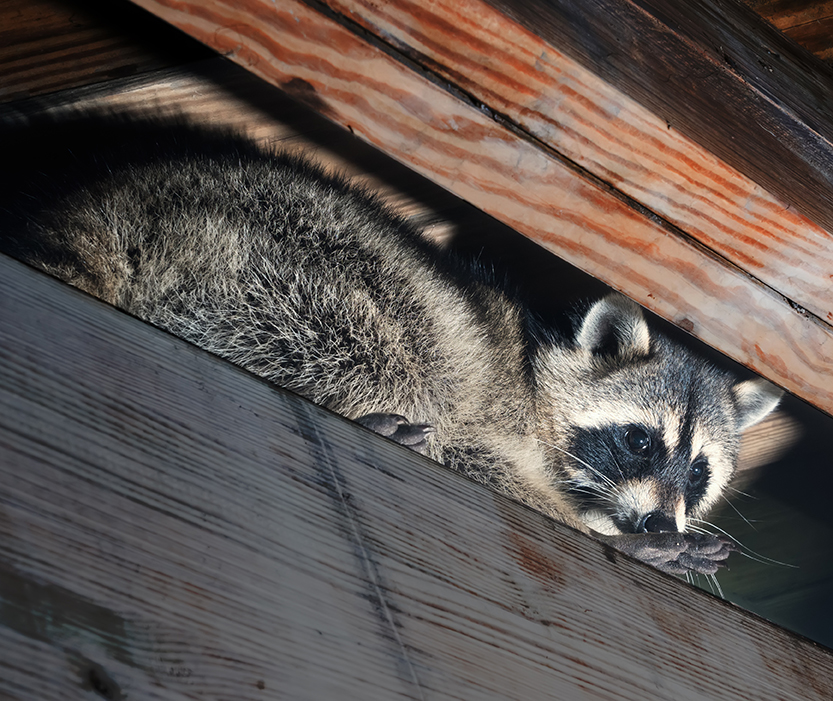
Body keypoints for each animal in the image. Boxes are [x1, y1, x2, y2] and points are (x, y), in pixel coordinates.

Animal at [0, 114, 781, 577]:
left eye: (699, 472)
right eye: (639, 441)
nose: (656, 519)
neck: (537, 378)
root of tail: (112, 204)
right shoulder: (490, 410)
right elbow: (476, 457)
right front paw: (617, 539)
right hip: (282, 264)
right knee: (384, 350)